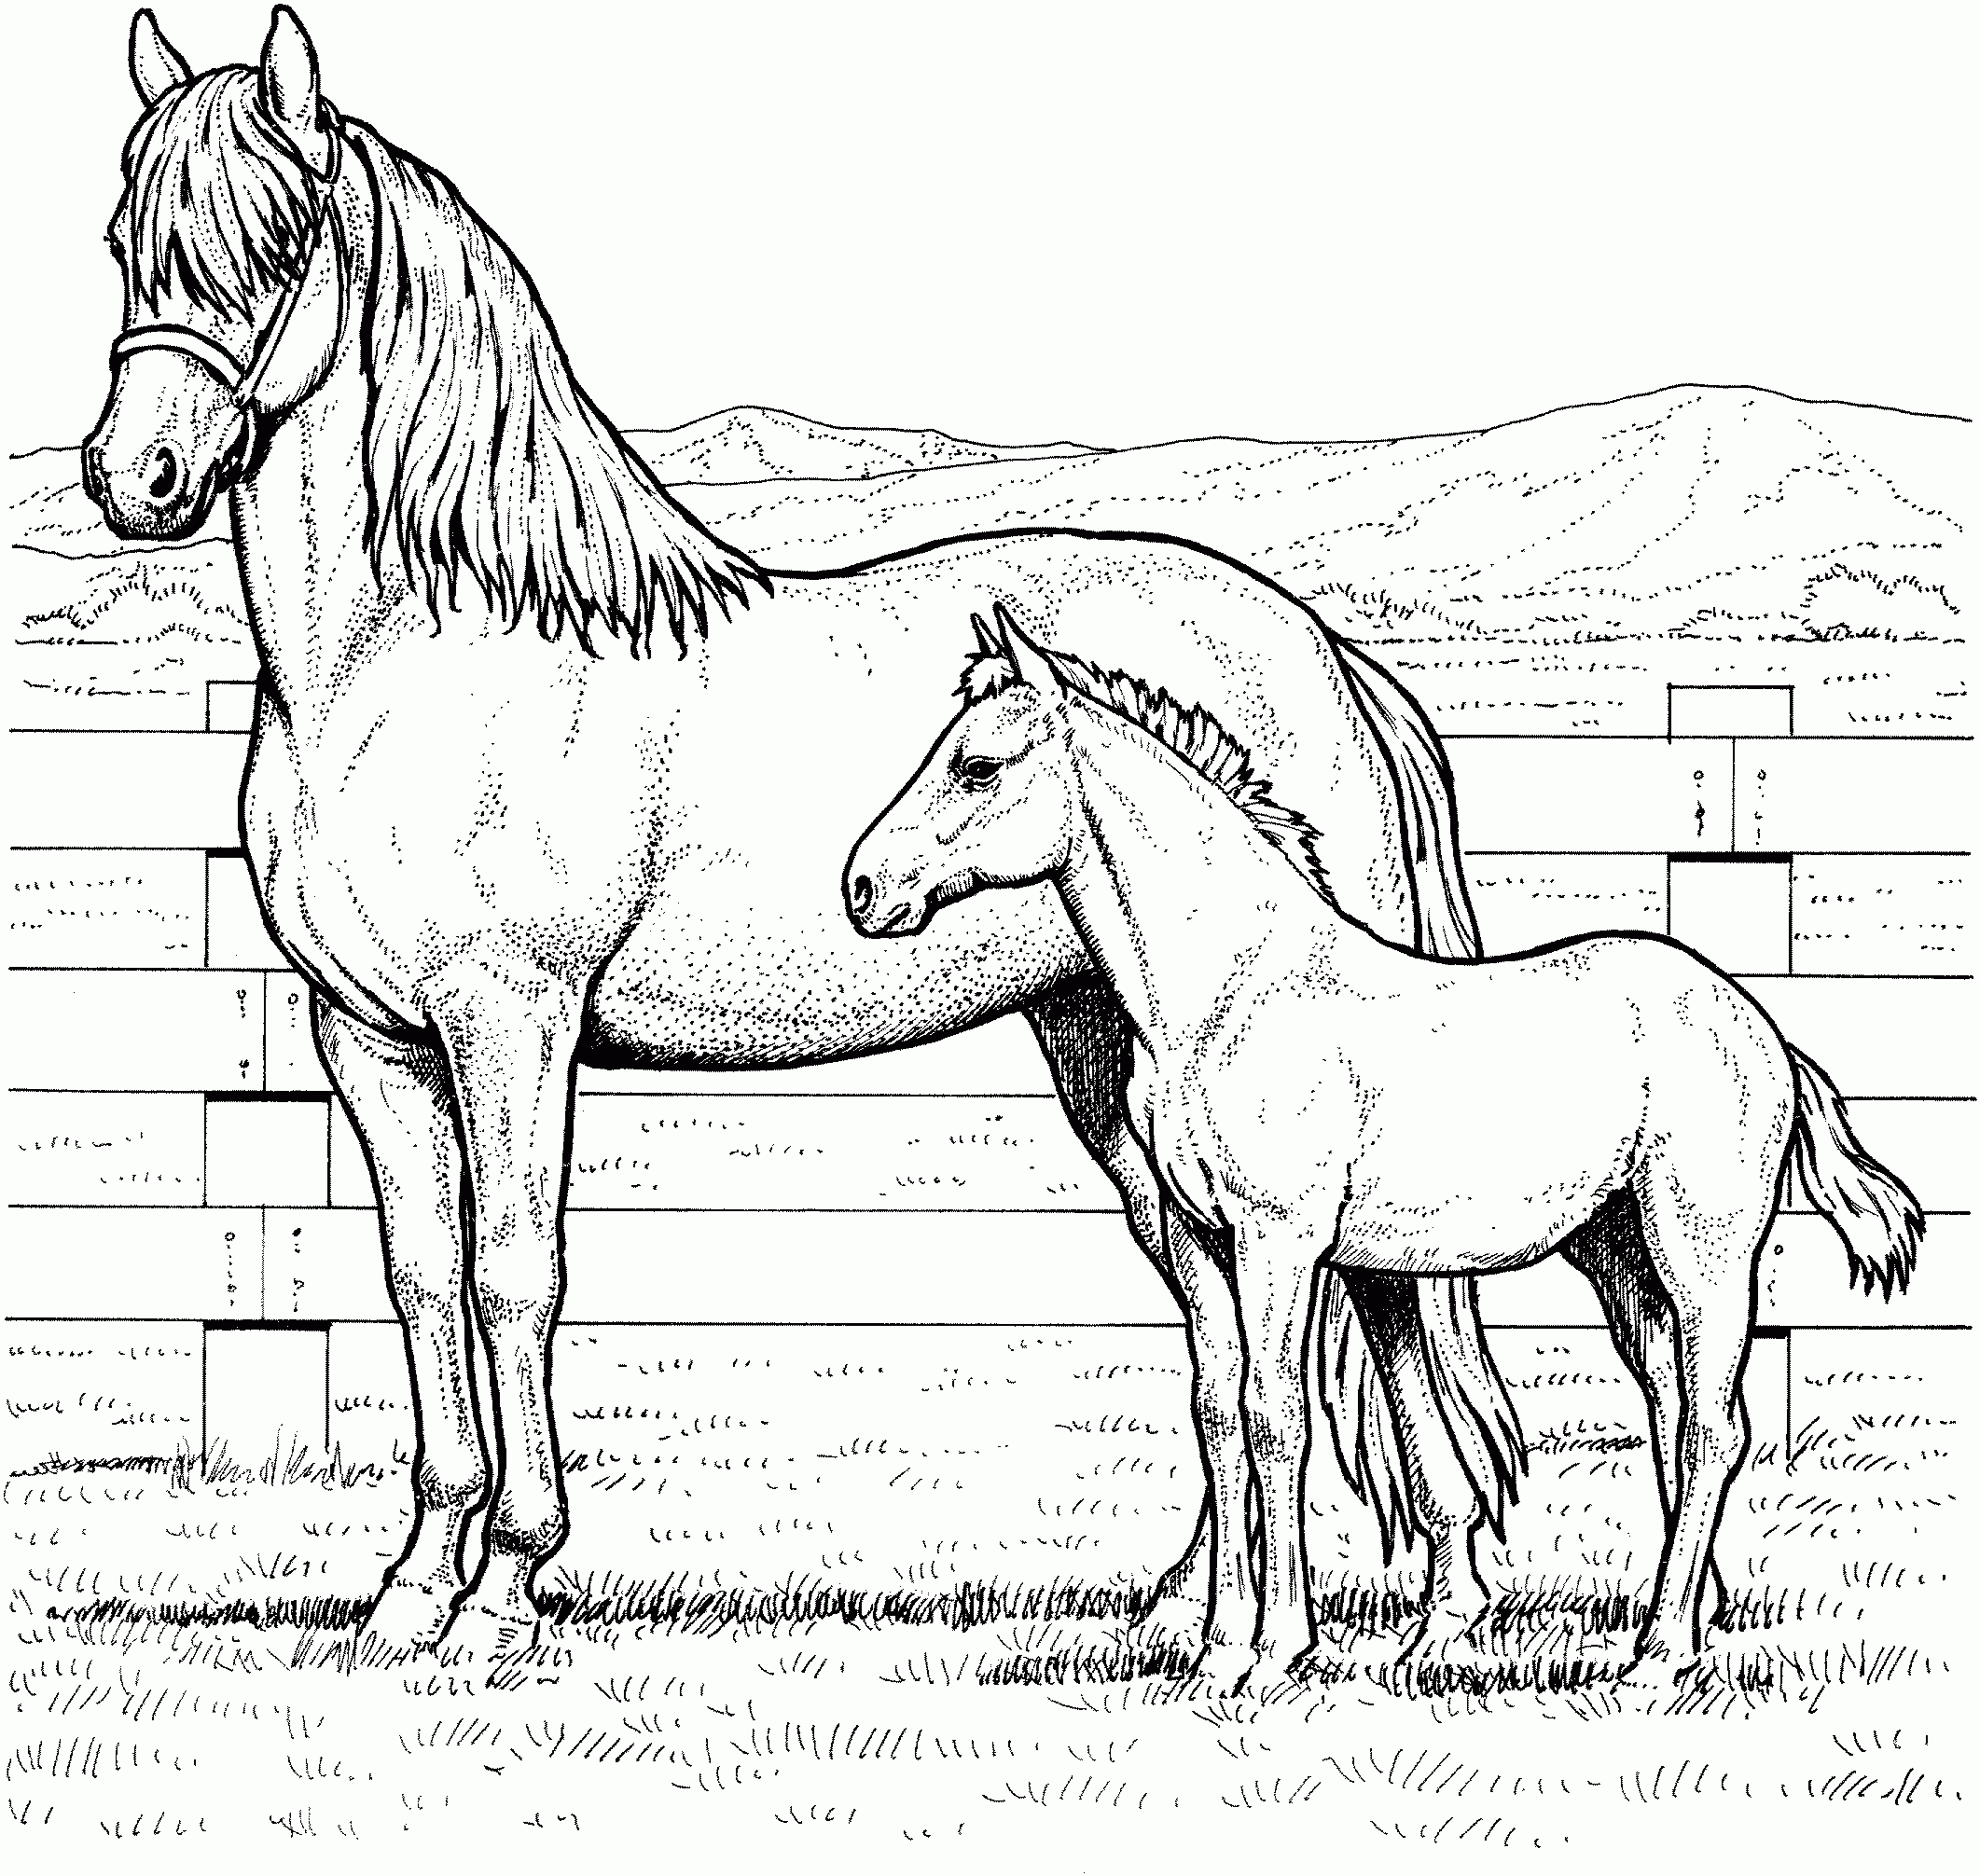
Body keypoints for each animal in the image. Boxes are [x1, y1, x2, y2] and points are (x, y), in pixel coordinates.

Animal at [82, 7, 1523, 1659]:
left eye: (274, 241)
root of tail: (1327, 656)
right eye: (125, 242)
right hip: (1108, 1051)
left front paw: (507, 1585)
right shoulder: (367, 1036)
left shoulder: (511, 1021)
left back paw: (1443, 1602)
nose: (134, 481)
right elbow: (421, 1281)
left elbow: (514, 1276)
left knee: (1385, 1295)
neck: (411, 658)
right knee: (1218, 1310)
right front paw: (409, 1590)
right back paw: (1194, 1609)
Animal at [844, 607, 1924, 1691]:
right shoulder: (1202, 1239)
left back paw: (1659, 1655)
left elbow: (1275, 1415)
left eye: (977, 765)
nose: (863, 889)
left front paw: (1275, 1653)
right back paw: (1669, 1630)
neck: (1230, 993)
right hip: (1617, 1255)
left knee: (1711, 1428)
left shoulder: (1280, 1244)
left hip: (1702, 1256)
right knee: (1667, 1404)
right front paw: (1216, 1649)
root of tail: (1756, 1024)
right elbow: (1220, 1414)